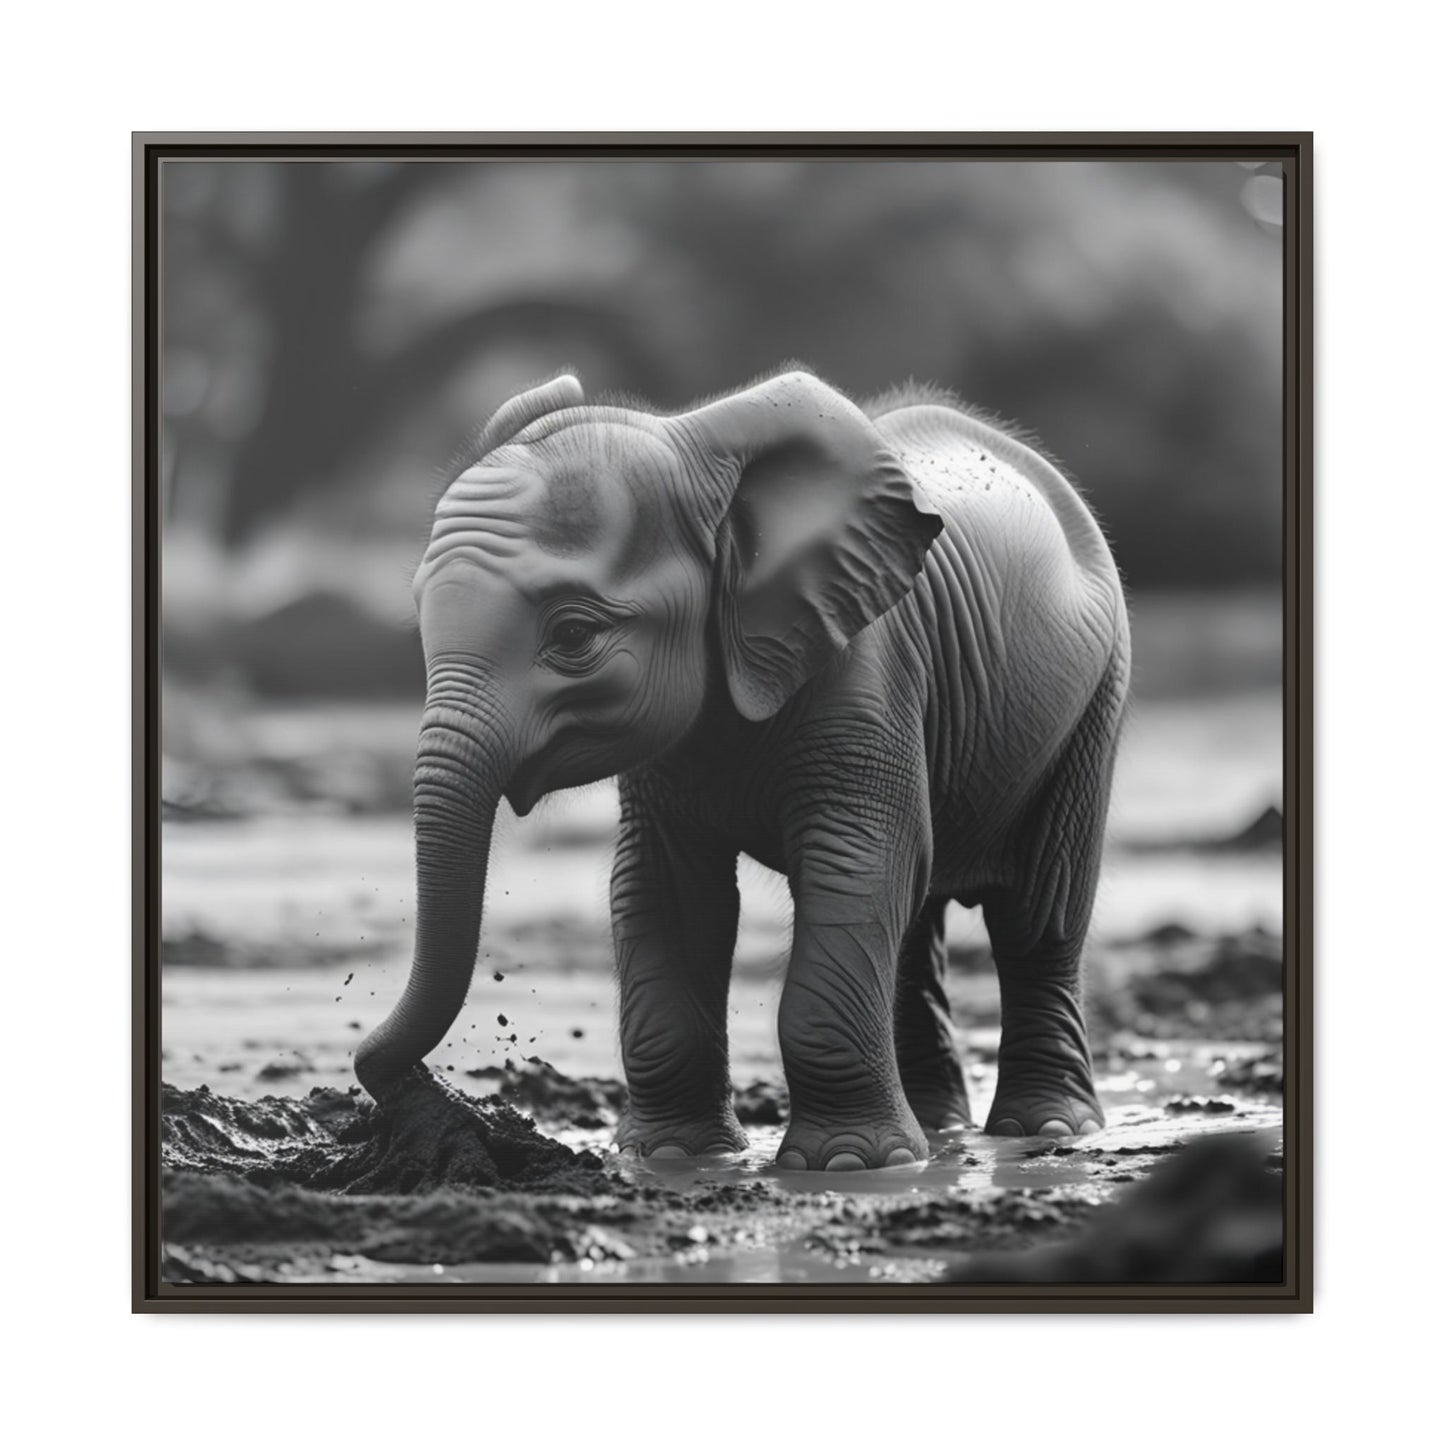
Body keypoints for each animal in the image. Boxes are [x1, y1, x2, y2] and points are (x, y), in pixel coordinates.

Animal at [355, 367, 1131, 1172]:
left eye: (572, 634)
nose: (415, 1089)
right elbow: (665, 890)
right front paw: (672, 1156)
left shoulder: (867, 669)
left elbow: (855, 862)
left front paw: (847, 1164)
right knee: (918, 922)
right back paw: (938, 1132)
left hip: (1094, 697)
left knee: (1038, 912)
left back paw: (1045, 1129)